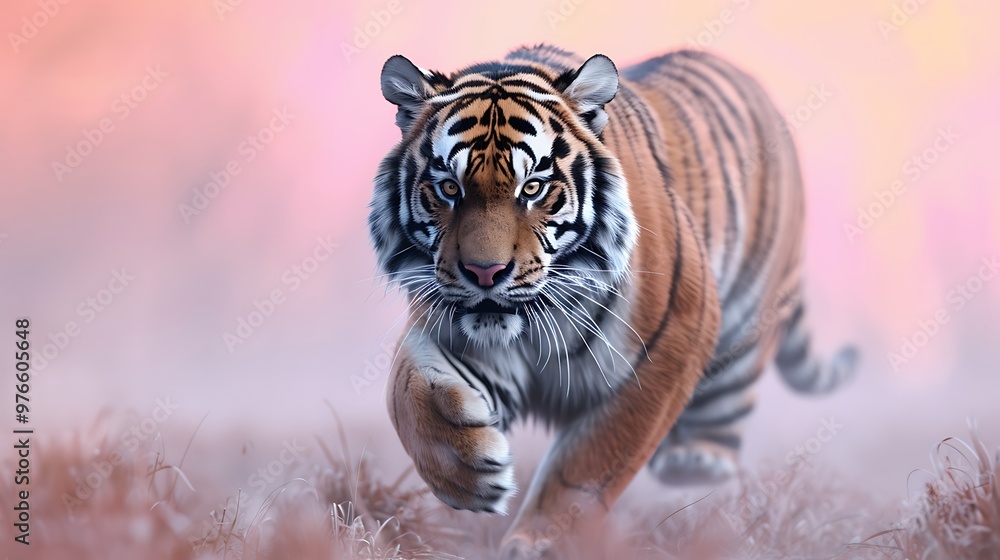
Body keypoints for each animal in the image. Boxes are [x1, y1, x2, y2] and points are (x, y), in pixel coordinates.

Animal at [367, 44, 857, 553]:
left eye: (533, 188)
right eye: (449, 187)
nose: (485, 273)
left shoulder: (674, 336)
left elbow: (590, 462)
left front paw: (540, 544)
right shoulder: (447, 327)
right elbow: (408, 395)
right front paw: (470, 472)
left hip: (748, 322)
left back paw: (697, 462)